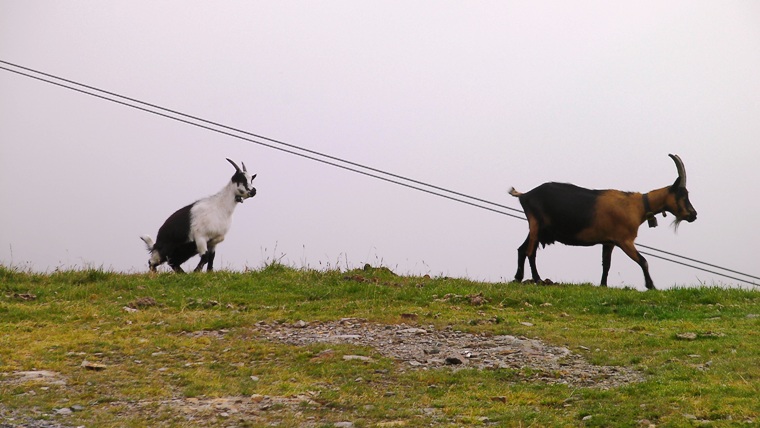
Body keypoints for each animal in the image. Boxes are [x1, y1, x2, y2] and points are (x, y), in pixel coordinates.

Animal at [510, 152, 696, 290]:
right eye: (682, 195)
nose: (693, 215)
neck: (638, 206)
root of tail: (525, 195)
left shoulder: (609, 241)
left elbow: (606, 264)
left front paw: (603, 285)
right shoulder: (624, 240)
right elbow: (643, 260)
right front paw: (651, 286)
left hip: (538, 228)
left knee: (522, 249)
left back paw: (518, 278)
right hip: (537, 224)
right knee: (530, 252)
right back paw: (537, 279)